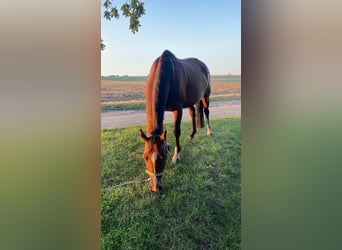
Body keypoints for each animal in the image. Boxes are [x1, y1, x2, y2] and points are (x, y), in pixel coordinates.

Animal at [140, 49, 211, 192]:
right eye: (145, 157)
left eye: (163, 158)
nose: (155, 188)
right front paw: (167, 145)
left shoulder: (177, 109)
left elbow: (176, 131)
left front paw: (176, 155)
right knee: (193, 113)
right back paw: (192, 134)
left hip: (206, 95)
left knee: (207, 111)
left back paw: (209, 131)